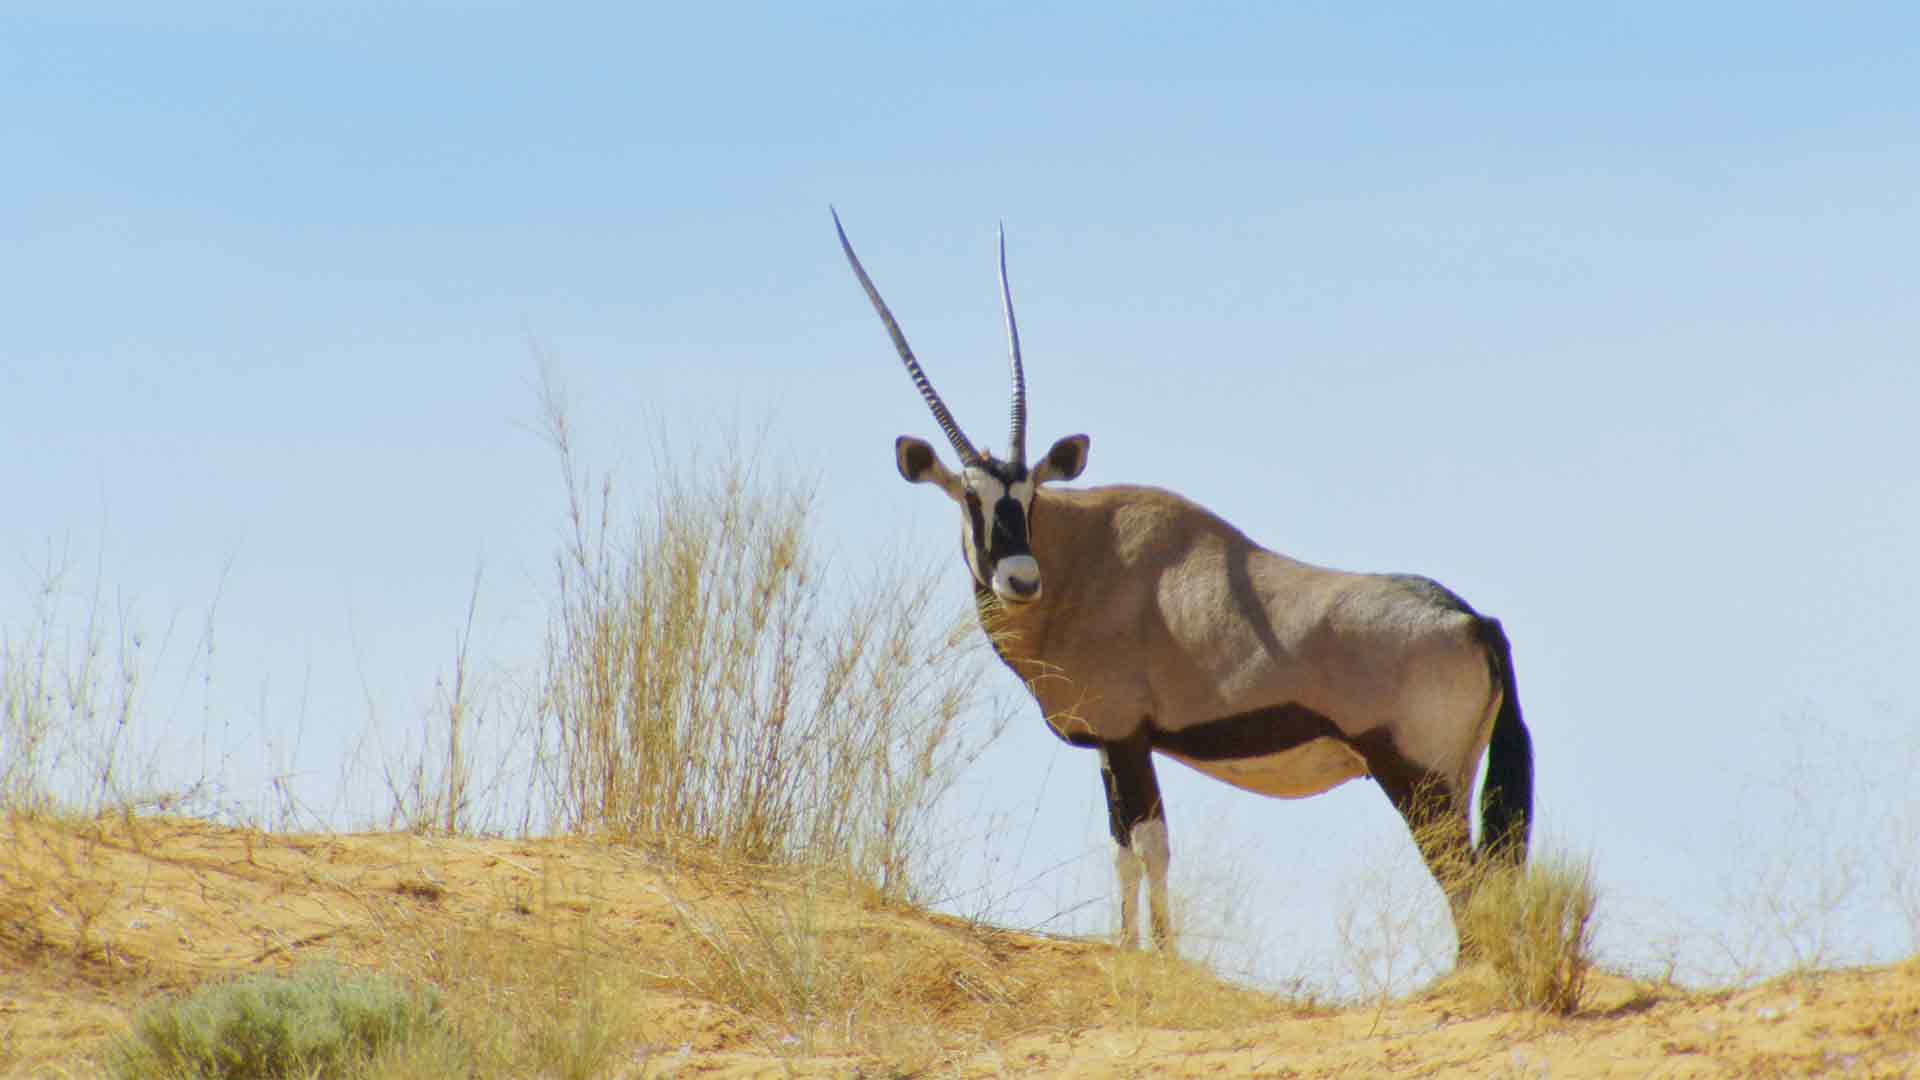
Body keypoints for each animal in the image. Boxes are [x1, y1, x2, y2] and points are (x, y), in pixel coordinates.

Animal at [832, 210, 1533, 953]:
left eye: (1028, 496)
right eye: (972, 498)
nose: (1021, 578)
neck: (1083, 563)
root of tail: (1472, 621)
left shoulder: (1126, 737)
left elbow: (1151, 846)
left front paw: (1164, 954)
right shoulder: (1110, 747)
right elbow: (1122, 849)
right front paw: (1128, 946)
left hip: (1418, 779)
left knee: (1467, 884)